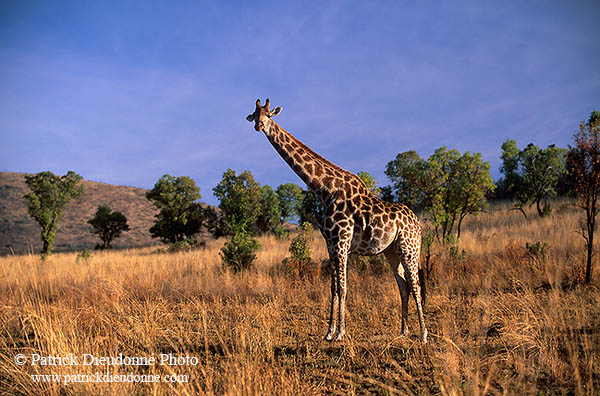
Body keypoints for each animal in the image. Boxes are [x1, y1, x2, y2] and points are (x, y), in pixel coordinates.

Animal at [246, 99, 428, 344]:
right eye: (255, 114)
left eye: (269, 115)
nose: (259, 126)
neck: (325, 190)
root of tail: (418, 223)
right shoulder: (330, 244)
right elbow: (332, 288)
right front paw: (329, 332)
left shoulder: (342, 242)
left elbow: (343, 287)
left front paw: (341, 332)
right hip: (391, 251)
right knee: (403, 285)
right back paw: (402, 332)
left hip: (410, 247)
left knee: (415, 284)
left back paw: (423, 334)